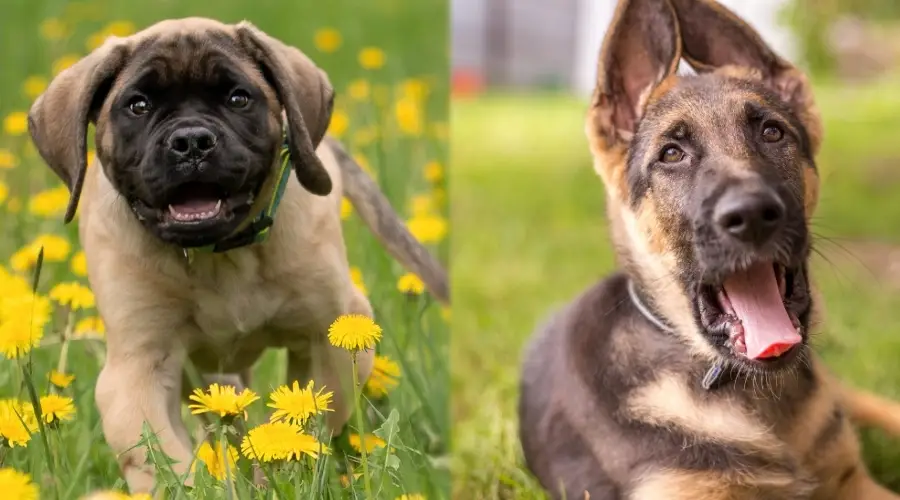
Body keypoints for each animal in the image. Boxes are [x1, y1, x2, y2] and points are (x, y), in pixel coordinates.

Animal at [28, 17, 450, 494]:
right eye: (138, 105)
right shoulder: (137, 368)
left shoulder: (333, 333)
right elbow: (165, 460)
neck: (218, 257)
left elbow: (307, 418)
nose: (191, 141)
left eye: (238, 98)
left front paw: (278, 472)